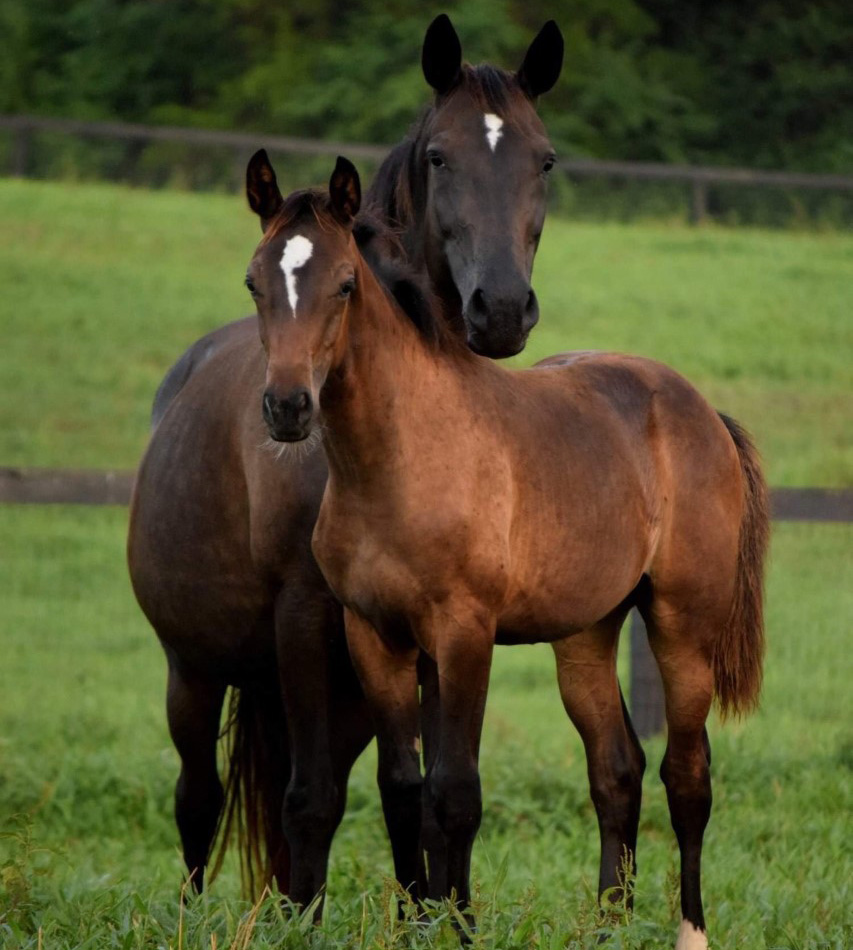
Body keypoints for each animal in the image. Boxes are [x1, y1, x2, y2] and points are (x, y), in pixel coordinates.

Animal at [126, 13, 564, 908]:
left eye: (542, 159)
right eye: (439, 156)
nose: (500, 309)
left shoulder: (429, 634)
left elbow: (422, 792)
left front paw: (432, 911)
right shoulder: (302, 616)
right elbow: (313, 802)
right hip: (196, 668)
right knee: (201, 799)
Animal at [243, 152, 768, 948]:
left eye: (344, 284)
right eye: (254, 282)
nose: (287, 407)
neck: (400, 459)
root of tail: (700, 410)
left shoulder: (464, 634)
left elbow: (455, 791)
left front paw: (457, 925)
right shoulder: (375, 635)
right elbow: (402, 788)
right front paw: (418, 921)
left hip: (682, 626)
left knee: (687, 774)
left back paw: (689, 930)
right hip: (585, 632)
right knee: (615, 769)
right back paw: (606, 925)